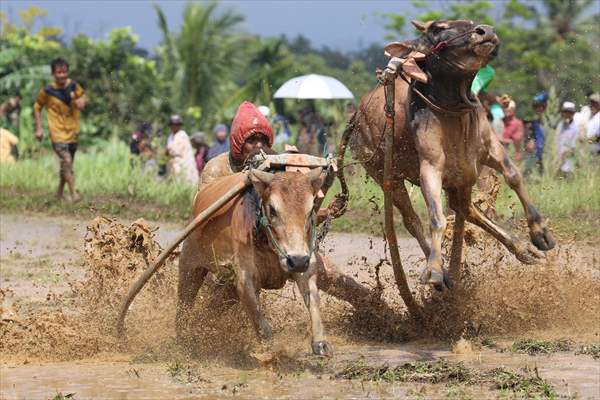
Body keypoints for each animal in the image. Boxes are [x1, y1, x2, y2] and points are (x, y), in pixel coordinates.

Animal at [177, 169, 332, 356]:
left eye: (310, 211)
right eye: (272, 210)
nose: (297, 261)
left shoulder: (305, 266)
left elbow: (314, 302)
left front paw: (320, 343)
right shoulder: (245, 281)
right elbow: (261, 324)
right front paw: (271, 352)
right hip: (189, 266)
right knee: (184, 304)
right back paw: (182, 338)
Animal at [350, 20, 556, 290]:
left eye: (470, 23)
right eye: (438, 28)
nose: (485, 31)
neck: (454, 110)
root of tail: (357, 117)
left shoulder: (490, 149)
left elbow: (514, 176)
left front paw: (540, 233)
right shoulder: (431, 167)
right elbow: (437, 218)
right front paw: (435, 270)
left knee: (466, 209)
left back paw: (523, 250)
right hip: (386, 176)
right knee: (413, 220)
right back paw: (443, 272)